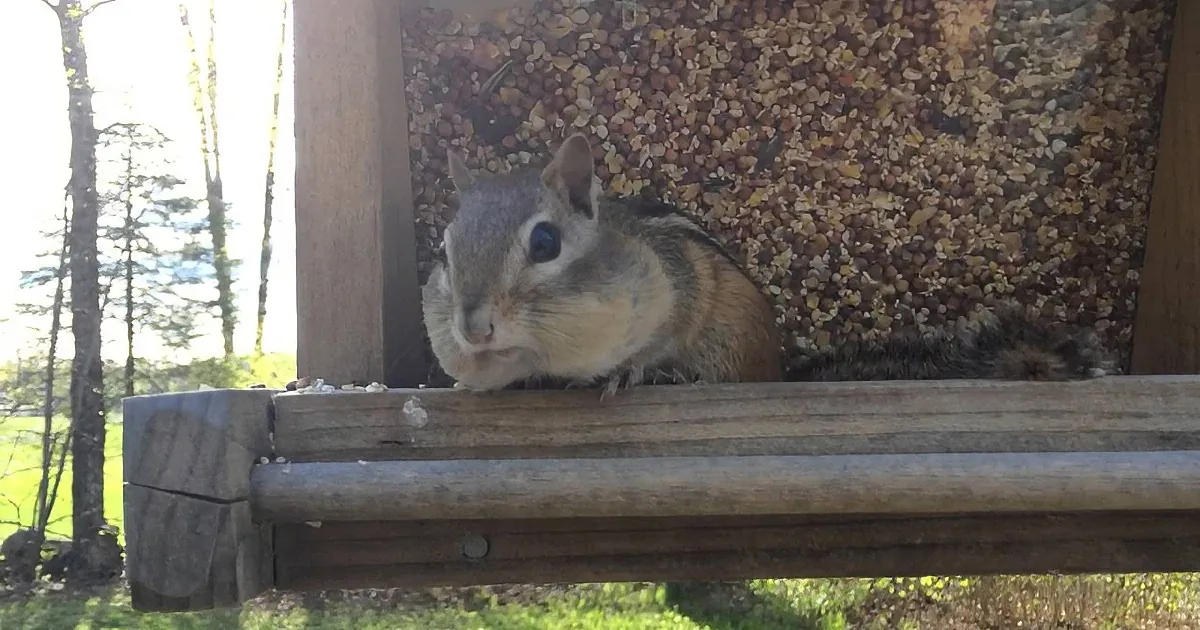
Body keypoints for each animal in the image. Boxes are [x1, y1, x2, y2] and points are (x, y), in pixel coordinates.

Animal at [421, 133, 1116, 396]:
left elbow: (651, 344)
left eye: (545, 244)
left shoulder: (680, 290)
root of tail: (781, 371)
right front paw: (469, 377)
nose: (474, 329)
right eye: (444, 250)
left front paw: (633, 371)